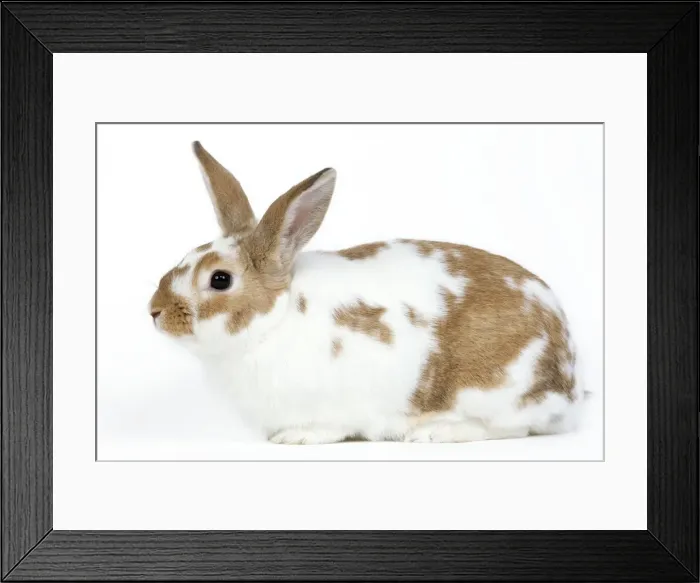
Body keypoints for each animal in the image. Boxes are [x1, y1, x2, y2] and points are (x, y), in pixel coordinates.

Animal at [148, 141, 585, 445]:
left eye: (220, 279)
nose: (154, 311)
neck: (273, 323)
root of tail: (569, 377)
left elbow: (327, 426)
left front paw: (296, 437)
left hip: (493, 391)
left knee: (513, 428)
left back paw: (436, 432)